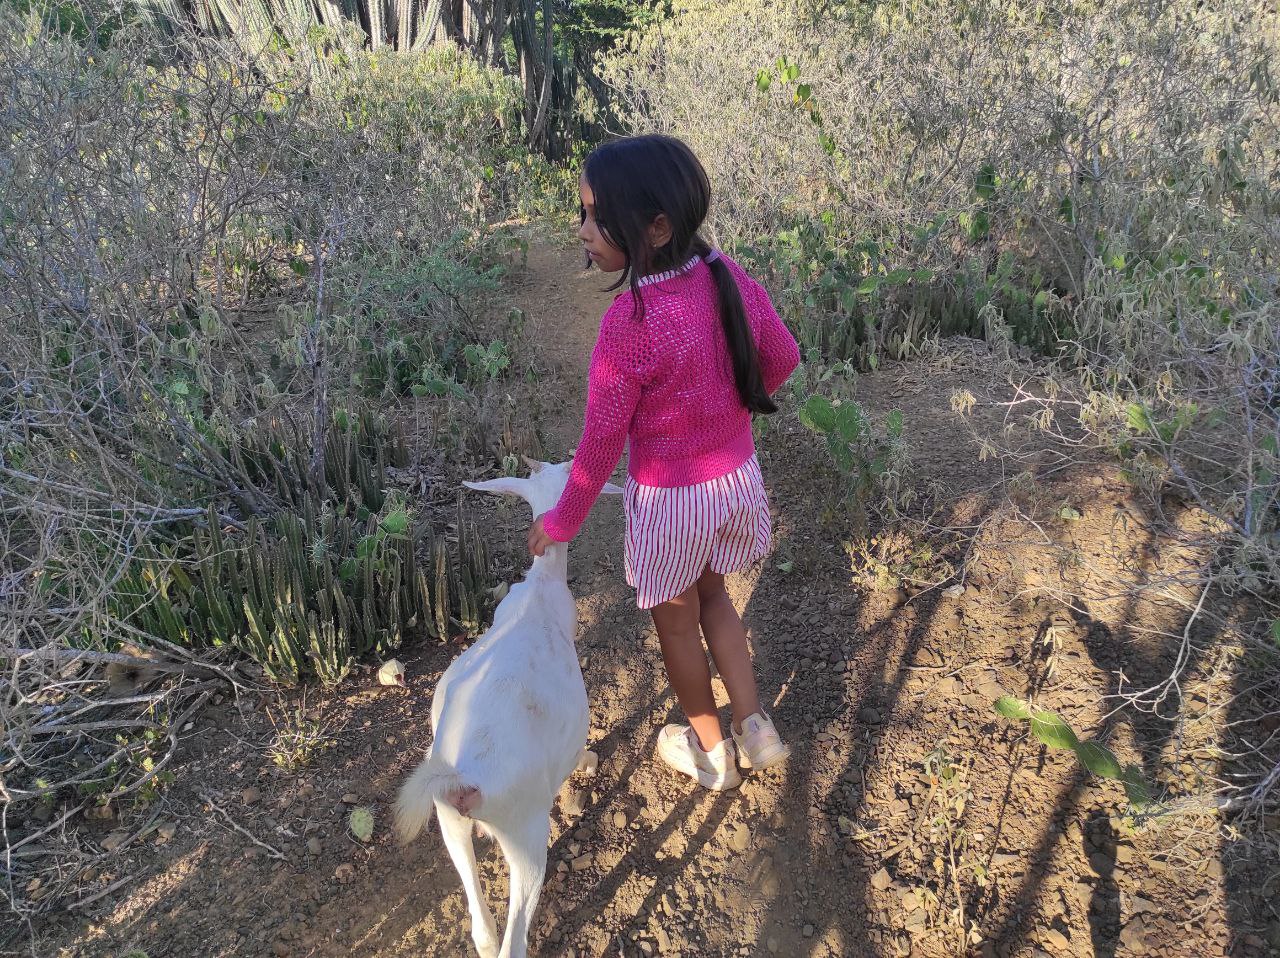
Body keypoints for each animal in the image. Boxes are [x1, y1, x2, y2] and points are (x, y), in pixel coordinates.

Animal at [396, 461, 622, 952]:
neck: (540, 584)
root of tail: (467, 780)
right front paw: (590, 761)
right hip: (526, 833)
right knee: (512, 941)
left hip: (448, 820)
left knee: (482, 930)